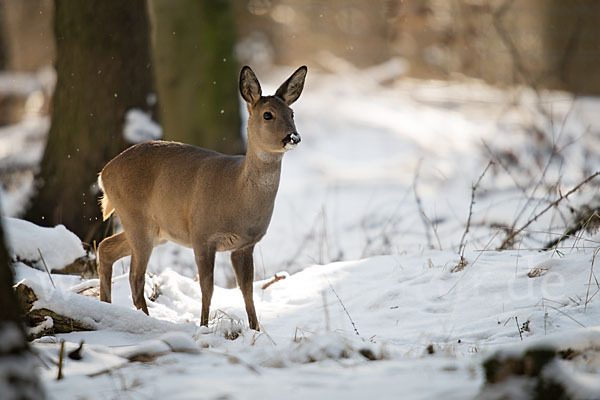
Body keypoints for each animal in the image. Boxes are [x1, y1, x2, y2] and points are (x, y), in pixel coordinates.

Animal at [97, 65, 310, 330]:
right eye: (268, 115)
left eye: (291, 113)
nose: (293, 137)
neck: (237, 193)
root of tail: (104, 173)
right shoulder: (202, 235)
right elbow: (207, 288)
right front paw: (204, 326)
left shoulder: (245, 245)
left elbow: (247, 290)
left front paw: (256, 329)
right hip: (136, 218)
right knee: (135, 277)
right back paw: (145, 320)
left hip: (155, 230)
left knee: (106, 248)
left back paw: (106, 307)